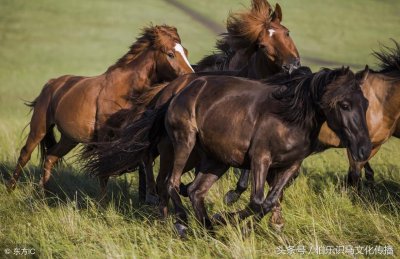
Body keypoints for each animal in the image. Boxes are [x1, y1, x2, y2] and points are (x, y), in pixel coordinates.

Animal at [6, 24, 194, 201]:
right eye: (170, 54)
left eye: (186, 52)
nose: (191, 76)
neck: (125, 90)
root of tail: (52, 84)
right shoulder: (105, 137)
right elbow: (104, 170)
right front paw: (102, 204)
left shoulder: (132, 138)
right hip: (39, 128)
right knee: (25, 154)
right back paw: (11, 190)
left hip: (69, 138)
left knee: (50, 157)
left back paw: (44, 195)